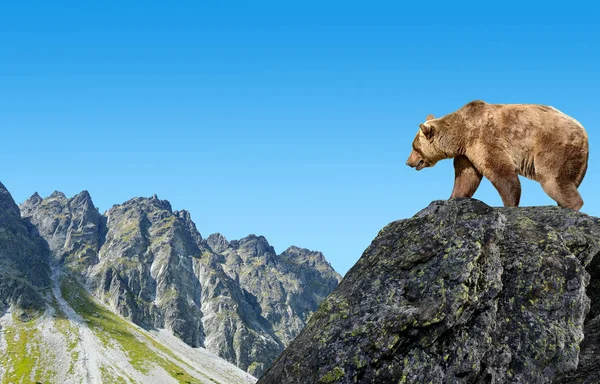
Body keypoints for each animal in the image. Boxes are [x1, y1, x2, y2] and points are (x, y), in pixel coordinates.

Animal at [406, 100, 588, 210]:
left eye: (414, 147)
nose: (408, 162)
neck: (461, 134)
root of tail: (583, 130)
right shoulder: (467, 153)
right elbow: (466, 178)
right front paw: (453, 197)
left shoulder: (484, 138)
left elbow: (501, 172)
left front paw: (510, 204)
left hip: (555, 147)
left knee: (553, 180)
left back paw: (572, 206)